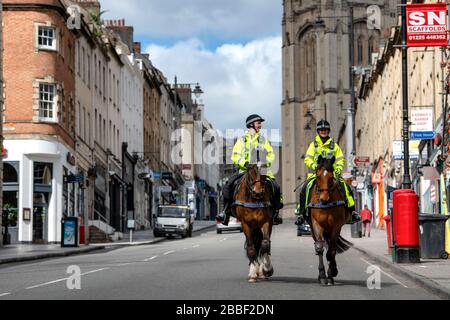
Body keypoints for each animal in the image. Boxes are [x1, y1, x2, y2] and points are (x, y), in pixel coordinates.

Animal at [308, 154, 354, 284]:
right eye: (318, 176)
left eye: (331, 176)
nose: (324, 198)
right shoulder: (316, 224)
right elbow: (319, 247)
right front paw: (322, 275)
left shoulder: (336, 226)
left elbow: (332, 250)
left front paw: (331, 272)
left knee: (331, 247)